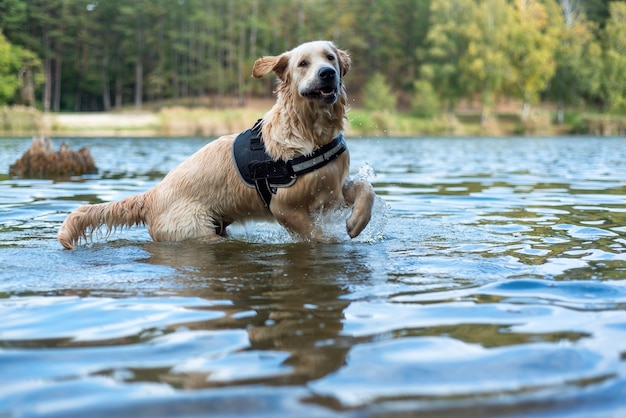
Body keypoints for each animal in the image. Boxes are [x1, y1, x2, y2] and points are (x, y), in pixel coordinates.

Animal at [56, 40, 372, 248]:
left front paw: (356, 222)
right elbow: (319, 237)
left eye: (330, 57)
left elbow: (364, 189)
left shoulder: (331, 188)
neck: (309, 132)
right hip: (197, 232)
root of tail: (153, 194)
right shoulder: (285, 208)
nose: (327, 73)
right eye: (303, 63)